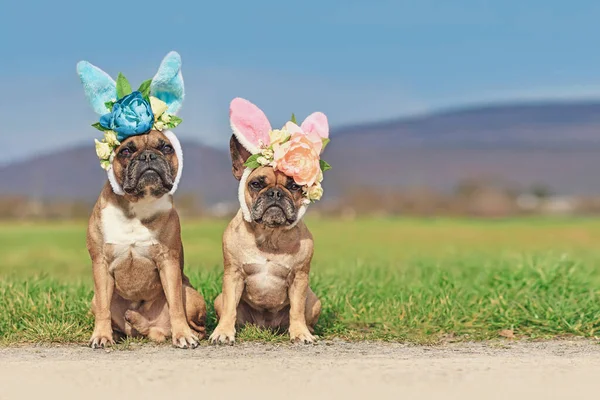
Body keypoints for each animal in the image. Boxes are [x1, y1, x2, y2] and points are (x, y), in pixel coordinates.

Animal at [77, 51, 206, 348]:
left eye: (166, 147)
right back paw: (117, 331)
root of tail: (149, 329)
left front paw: (183, 335)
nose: (148, 156)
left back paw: (188, 333)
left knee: (192, 318)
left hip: (193, 295)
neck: (137, 205)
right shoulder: (100, 264)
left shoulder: (168, 262)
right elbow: (103, 308)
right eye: (126, 151)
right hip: (95, 300)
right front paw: (101, 335)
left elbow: (176, 304)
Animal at [210, 98, 332, 346]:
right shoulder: (233, 275)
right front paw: (223, 332)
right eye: (256, 183)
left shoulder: (299, 279)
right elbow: (229, 308)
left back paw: (306, 331)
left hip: (314, 301)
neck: (269, 234)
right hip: (219, 298)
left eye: (294, 185)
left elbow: (296, 309)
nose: (275, 193)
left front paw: (300, 333)